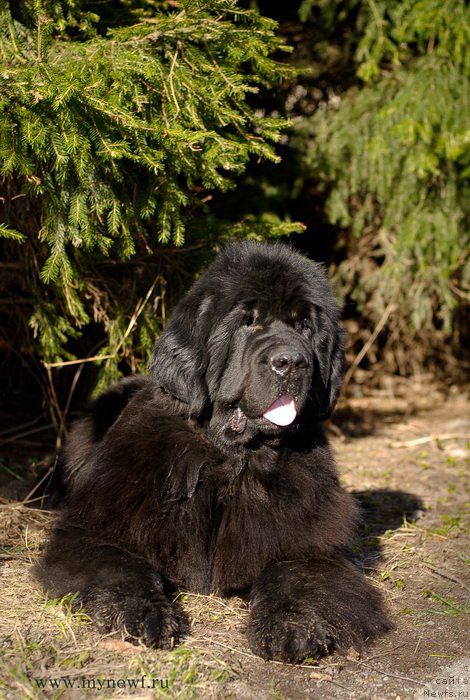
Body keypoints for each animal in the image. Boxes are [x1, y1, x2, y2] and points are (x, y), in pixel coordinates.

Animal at [35, 241, 390, 660]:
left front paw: (292, 624)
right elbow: (120, 566)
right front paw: (140, 613)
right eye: (247, 321)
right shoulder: (94, 529)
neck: (229, 461)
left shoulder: (313, 543)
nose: (291, 361)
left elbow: (294, 573)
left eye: (305, 325)